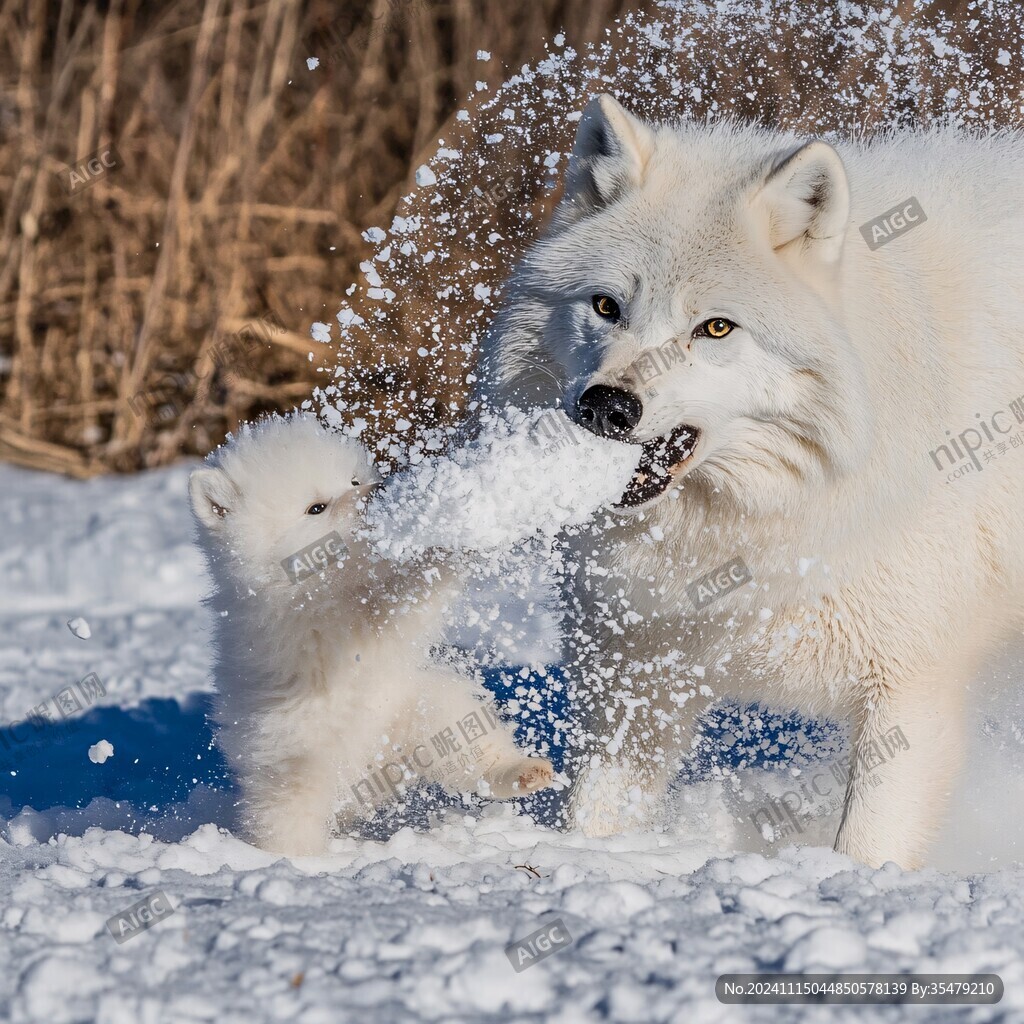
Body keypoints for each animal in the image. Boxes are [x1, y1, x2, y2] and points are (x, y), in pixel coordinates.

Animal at [477, 96, 1024, 868]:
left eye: (715, 328)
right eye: (607, 307)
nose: (607, 406)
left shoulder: (910, 691)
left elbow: (866, 847)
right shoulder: (636, 676)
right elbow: (595, 818)